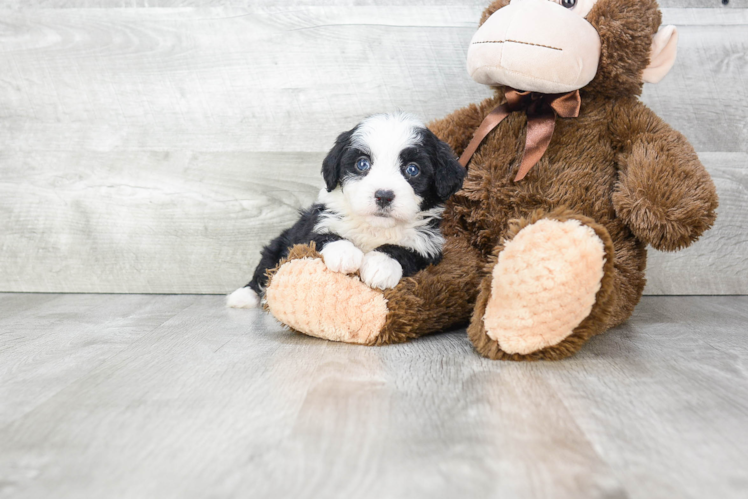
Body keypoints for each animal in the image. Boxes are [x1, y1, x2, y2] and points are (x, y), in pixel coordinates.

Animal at [225, 113, 464, 308]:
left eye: (412, 169)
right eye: (362, 164)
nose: (384, 195)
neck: (374, 228)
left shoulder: (428, 246)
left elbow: (404, 251)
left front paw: (380, 265)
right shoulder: (314, 226)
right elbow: (324, 236)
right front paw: (344, 254)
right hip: (277, 245)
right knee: (264, 269)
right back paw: (243, 296)